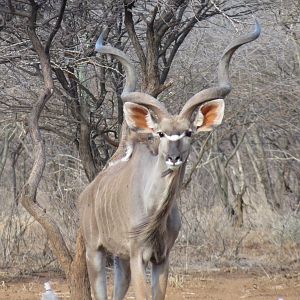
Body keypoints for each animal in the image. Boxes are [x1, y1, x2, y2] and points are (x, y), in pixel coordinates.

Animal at [79, 21, 260, 300]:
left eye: (188, 133)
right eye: (161, 133)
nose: (174, 157)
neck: (154, 211)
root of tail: (88, 192)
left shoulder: (162, 258)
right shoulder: (137, 255)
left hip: (120, 260)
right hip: (95, 252)